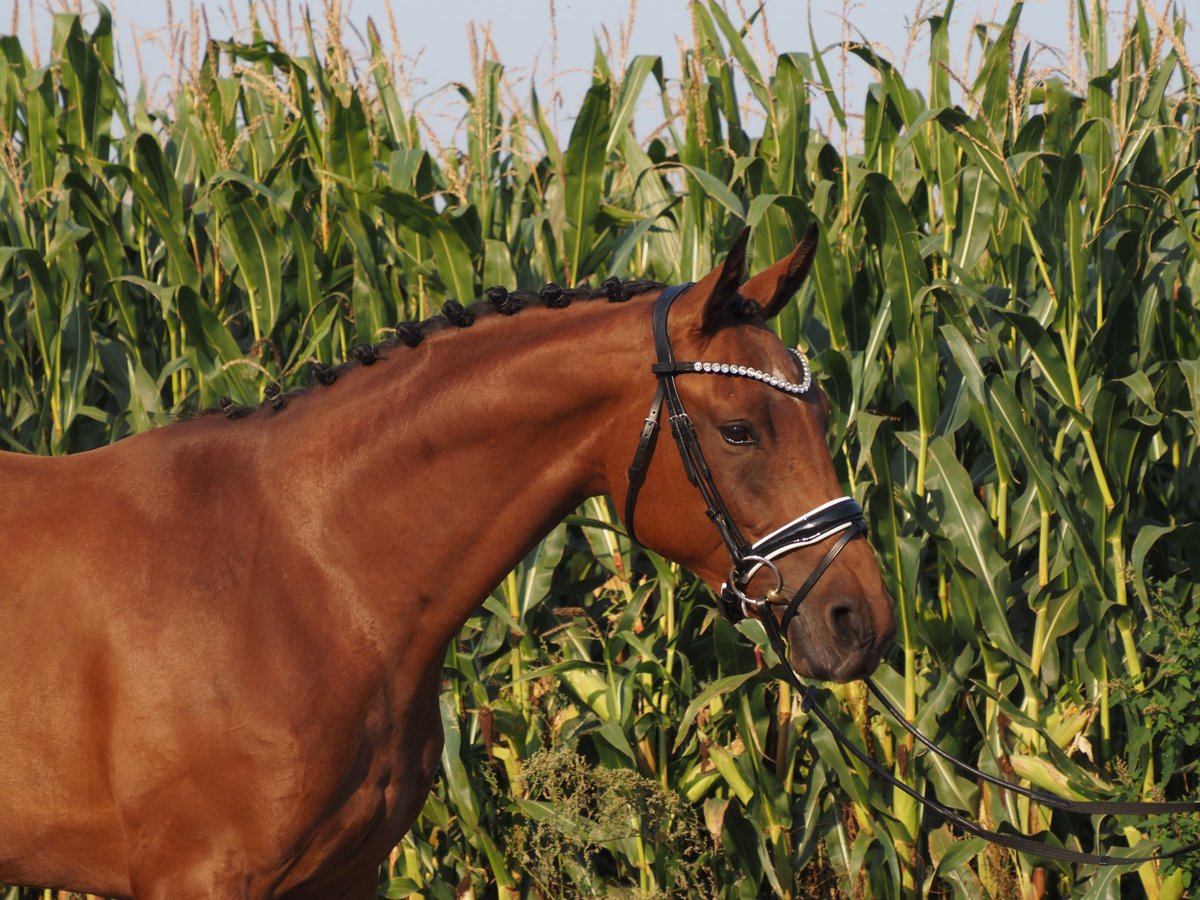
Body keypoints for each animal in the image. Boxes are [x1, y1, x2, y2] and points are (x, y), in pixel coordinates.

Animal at [0, 229, 897, 897]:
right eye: (740, 429)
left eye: (824, 411)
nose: (862, 622)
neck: (305, 572)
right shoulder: (201, 879)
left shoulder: (343, 878)